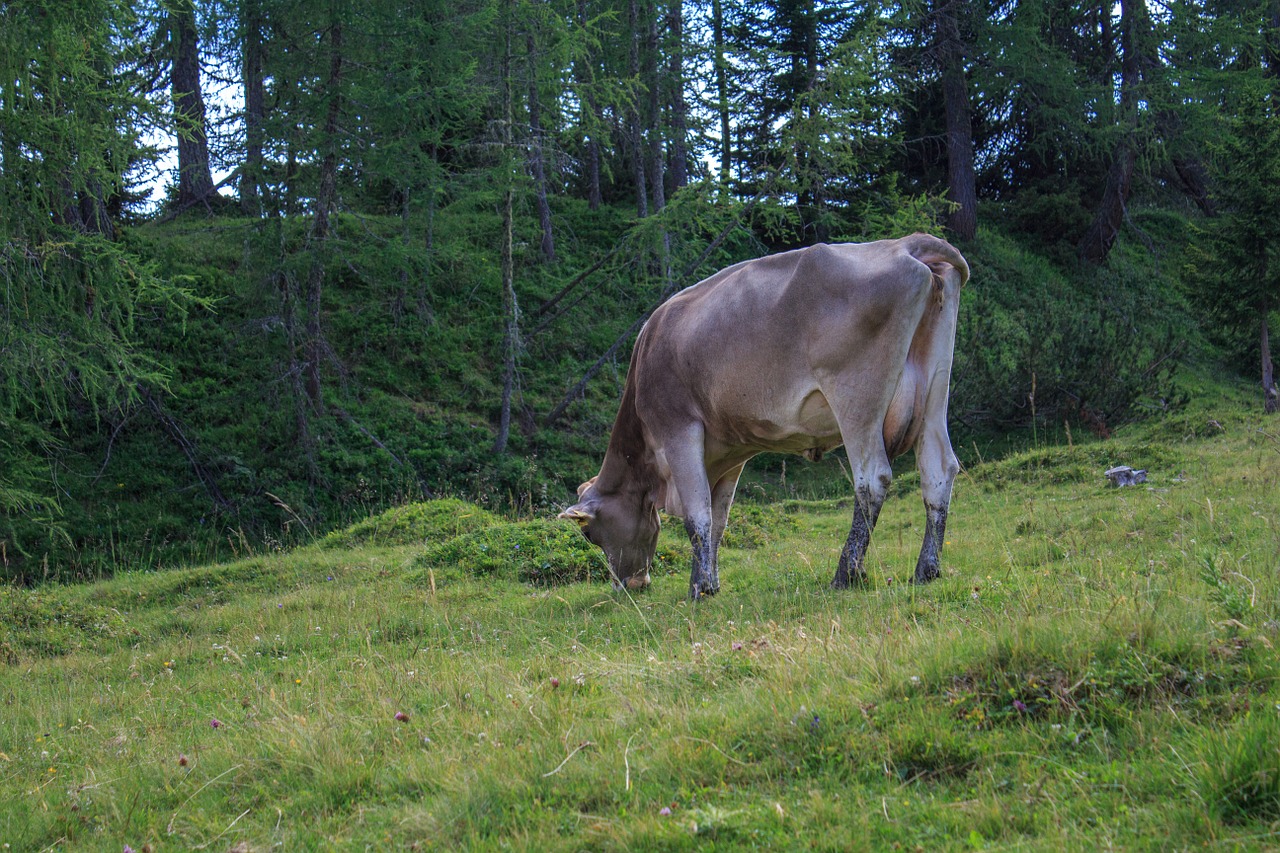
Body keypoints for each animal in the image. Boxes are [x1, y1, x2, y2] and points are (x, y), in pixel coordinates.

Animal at [560, 229, 967, 594]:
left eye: (591, 534)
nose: (627, 585)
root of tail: (905, 244)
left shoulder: (679, 431)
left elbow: (697, 517)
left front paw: (699, 588)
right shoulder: (729, 452)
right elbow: (718, 519)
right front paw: (711, 581)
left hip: (857, 398)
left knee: (873, 478)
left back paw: (846, 574)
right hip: (934, 390)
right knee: (938, 470)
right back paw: (926, 569)